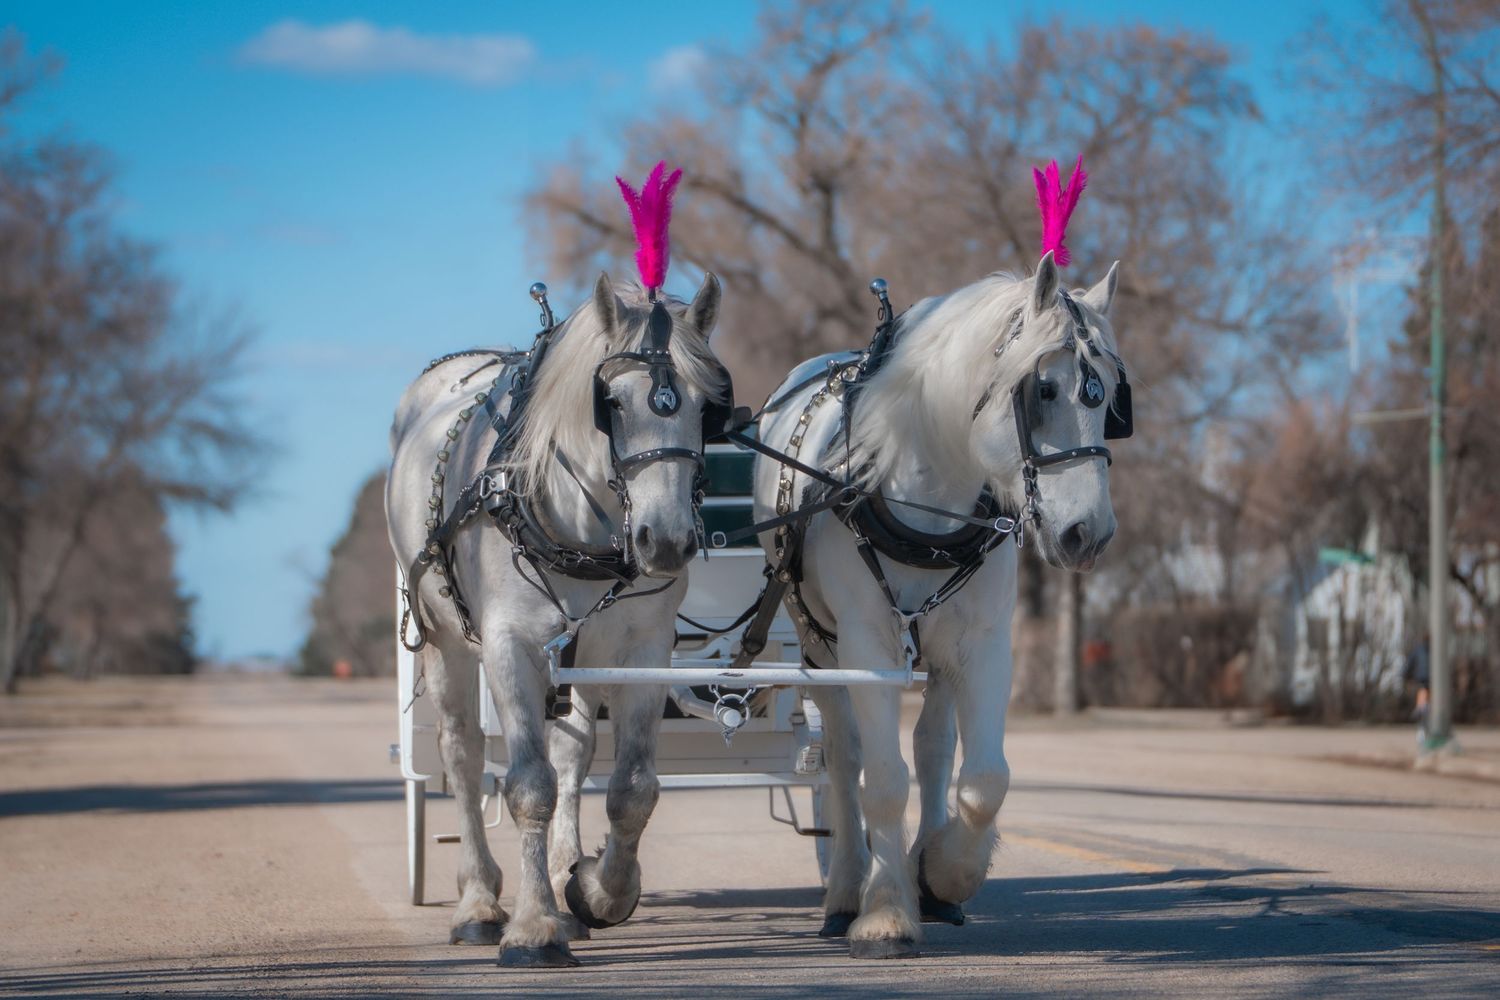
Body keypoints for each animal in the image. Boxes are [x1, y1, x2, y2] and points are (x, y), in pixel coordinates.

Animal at [386, 271, 728, 967]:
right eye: (611, 403)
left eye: (708, 405)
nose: (666, 541)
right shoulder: (510, 646)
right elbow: (527, 786)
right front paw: (534, 926)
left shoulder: (642, 649)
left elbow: (632, 787)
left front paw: (597, 891)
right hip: (444, 640)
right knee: (463, 755)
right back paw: (479, 902)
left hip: (582, 655)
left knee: (573, 753)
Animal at [751, 250, 1127, 958]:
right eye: (1043, 390)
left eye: (1112, 397)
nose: (1087, 535)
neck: (923, 498)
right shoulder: (867, 645)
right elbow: (882, 779)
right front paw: (885, 911)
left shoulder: (982, 643)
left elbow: (983, 779)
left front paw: (947, 873)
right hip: (818, 646)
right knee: (845, 758)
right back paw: (847, 891)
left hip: (938, 647)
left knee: (932, 747)